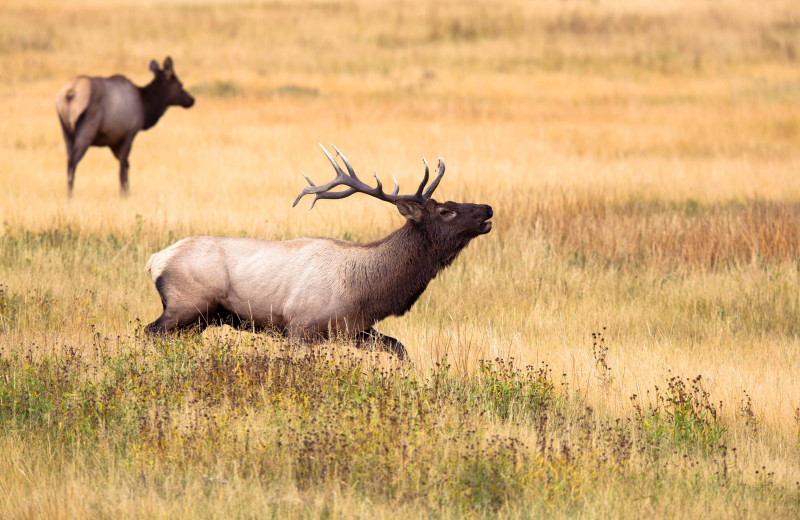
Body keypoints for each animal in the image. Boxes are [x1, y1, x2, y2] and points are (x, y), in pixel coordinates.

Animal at [55, 55, 195, 196]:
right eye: (180, 84)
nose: (191, 100)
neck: (146, 108)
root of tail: (70, 93)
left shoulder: (113, 140)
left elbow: (126, 165)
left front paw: (126, 191)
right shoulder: (129, 133)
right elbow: (123, 166)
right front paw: (124, 194)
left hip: (66, 132)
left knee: (68, 160)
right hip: (87, 129)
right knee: (73, 162)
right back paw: (70, 195)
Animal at [144, 144, 494, 360]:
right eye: (446, 211)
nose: (488, 208)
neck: (366, 290)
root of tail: (155, 261)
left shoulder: (355, 329)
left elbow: (400, 349)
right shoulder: (299, 325)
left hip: (200, 319)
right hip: (187, 304)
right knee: (150, 332)